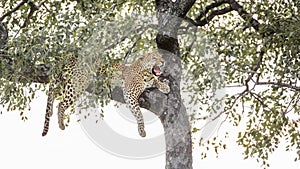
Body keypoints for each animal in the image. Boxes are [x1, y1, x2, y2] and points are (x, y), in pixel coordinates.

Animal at [41, 51, 171, 137]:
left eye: (160, 56)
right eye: (154, 58)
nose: (163, 61)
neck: (145, 73)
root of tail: (70, 56)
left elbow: (155, 80)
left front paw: (165, 87)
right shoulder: (130, 94)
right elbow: (139, 113)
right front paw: (142, 130)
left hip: (64, 81)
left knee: (53, 93)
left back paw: (51, 111)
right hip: (78, 84)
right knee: (61, 104)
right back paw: (61, 123)